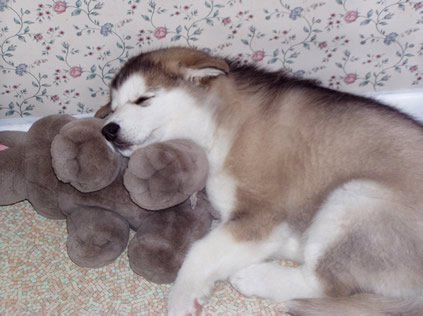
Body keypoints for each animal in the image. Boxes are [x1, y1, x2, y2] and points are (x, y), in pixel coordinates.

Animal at [102, 47, 423, 316]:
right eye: (113, 107)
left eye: (143, 99)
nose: (107, 130)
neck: (221, 123)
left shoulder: (261, 213)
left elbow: (200, 251)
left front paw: (182, 298)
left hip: (357, 198)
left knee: (323, 283)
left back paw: (257, 276)